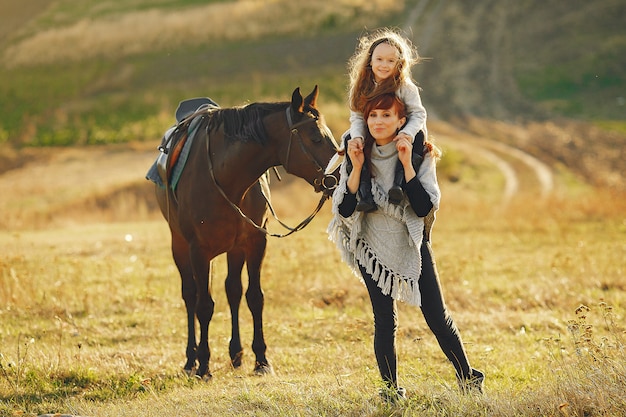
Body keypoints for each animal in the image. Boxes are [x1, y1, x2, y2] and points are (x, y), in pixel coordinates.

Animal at [154, 86, 338, 378]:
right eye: (316, 138)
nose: (342, 174)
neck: (226, 177)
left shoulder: (255, 242)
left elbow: (254, 297)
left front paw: (261, 360)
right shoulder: (198, 250)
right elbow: (204, 305)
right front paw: (204, 364)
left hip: (234, 249)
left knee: (233, 291)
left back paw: (236, 353)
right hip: (180, 246)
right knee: (191, 295)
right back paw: (191, 359)